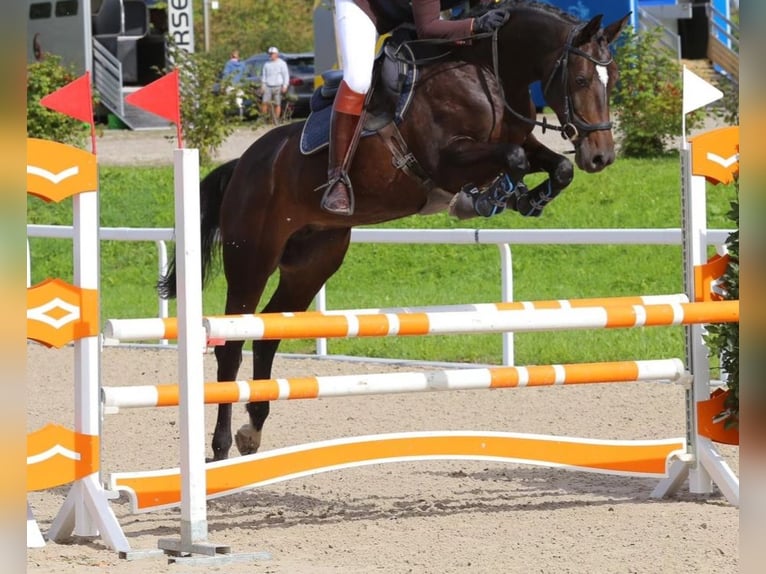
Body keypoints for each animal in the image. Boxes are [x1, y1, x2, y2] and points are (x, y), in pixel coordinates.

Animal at [160, 0, 632, 460]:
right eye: (582, 78)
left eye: (613, 79)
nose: (602, 156)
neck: (490, 74)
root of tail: (244, 164)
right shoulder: (448, 159)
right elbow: (511, 158)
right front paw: (480, 199)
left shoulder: (523, 143)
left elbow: (555, 166)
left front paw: (523, 199)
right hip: (252, 257)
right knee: (233, 344)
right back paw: (220, 446)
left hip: (312, 263)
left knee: (268, 335)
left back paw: (252, 431)